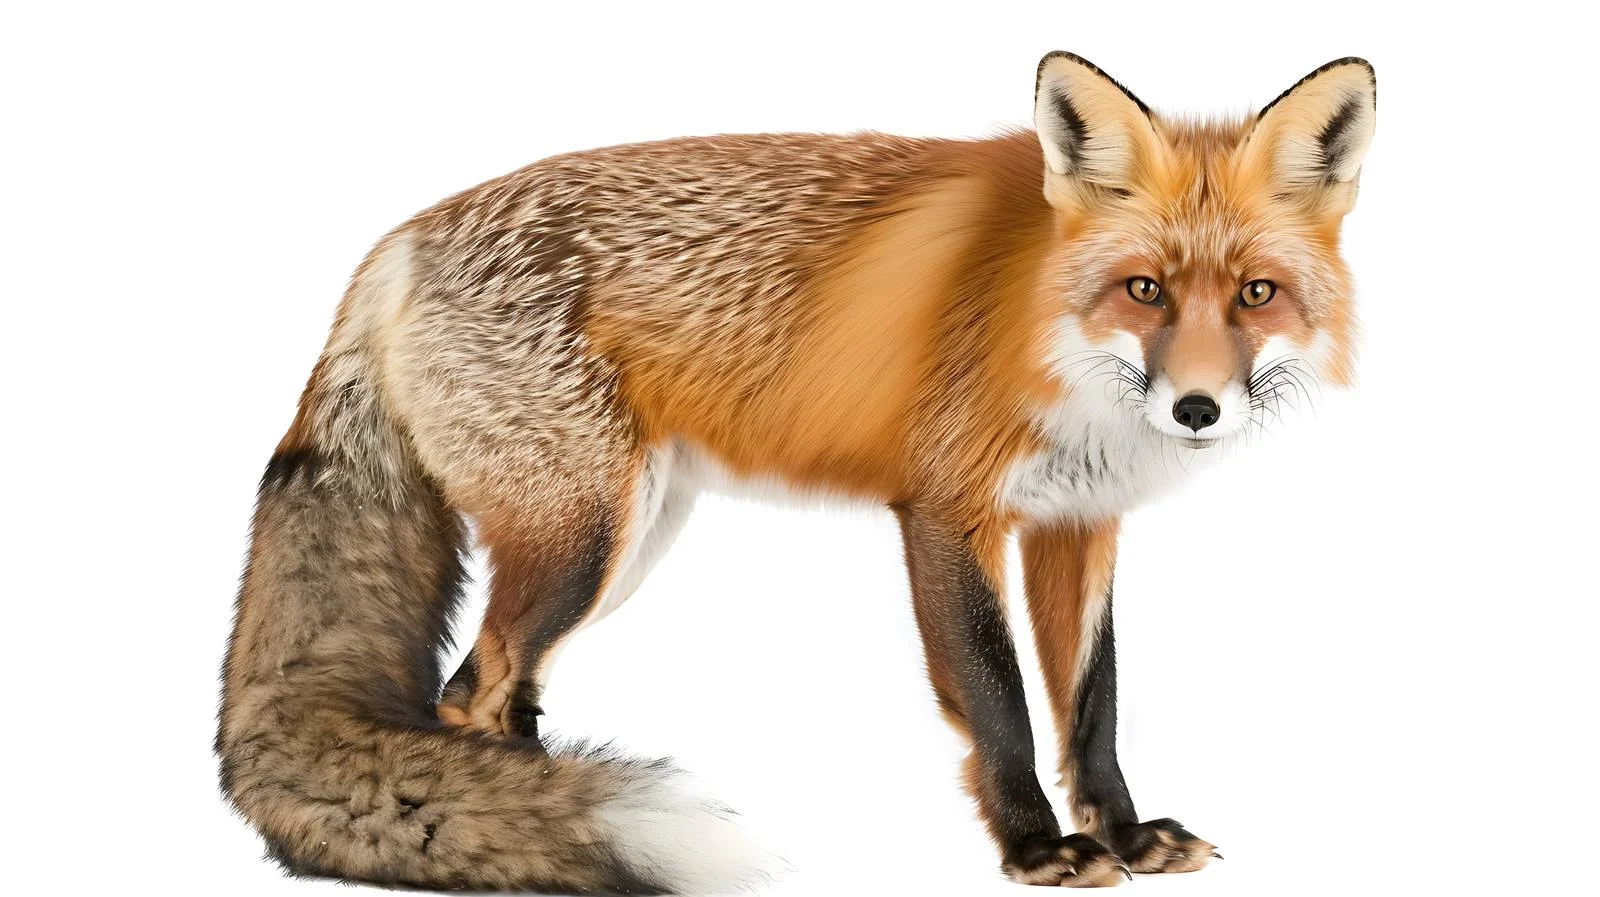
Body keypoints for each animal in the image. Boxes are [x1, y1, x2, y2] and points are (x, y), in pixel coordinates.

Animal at [218, 52, 1375, 891]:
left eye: (1256, 295)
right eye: (1143, 289)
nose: (1196, 409)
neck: (1047, 329)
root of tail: (395, 244)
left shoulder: (1077, 523)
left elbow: (1094, 705)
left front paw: (1127, 837)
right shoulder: (946, 511)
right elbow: (1000, 700)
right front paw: (1036, 849)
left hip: (627, 539)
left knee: (497, 691)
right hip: (586, 538)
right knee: (471, 692)